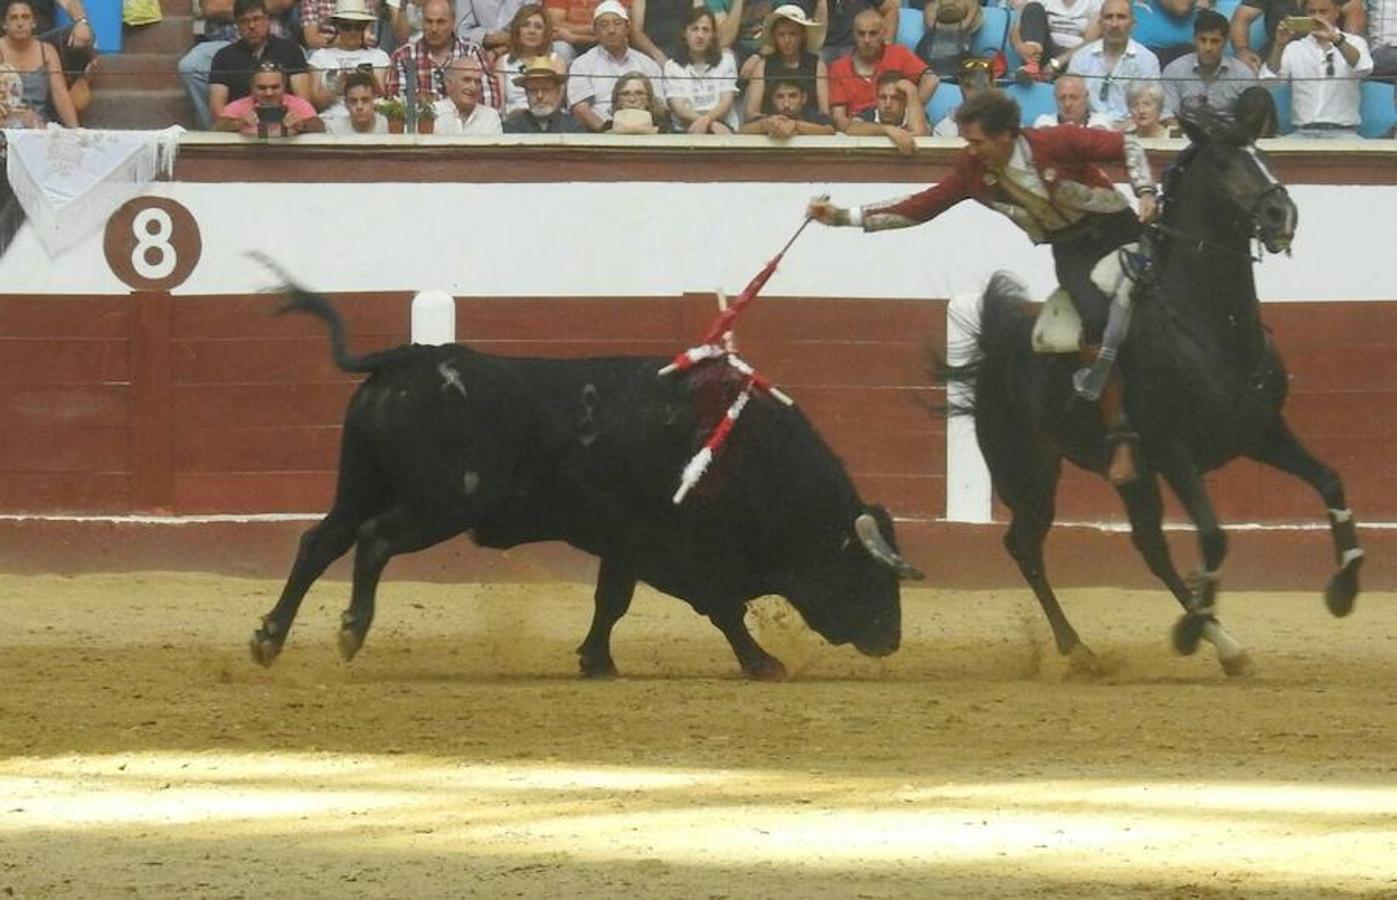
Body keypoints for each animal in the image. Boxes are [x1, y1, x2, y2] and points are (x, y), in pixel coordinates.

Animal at [251, 285, 922, 679]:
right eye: (869, 574)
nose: (891, 639)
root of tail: (408, 357)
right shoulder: (675, 551)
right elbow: (721, 609)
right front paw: (763, 662)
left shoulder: (623, 544)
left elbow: (611, 602)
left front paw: (596, 661)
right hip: (436, 504)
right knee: (374, 541)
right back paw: (350, 630)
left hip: (361, 485)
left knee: (320, 542)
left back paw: (270, 638)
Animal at [944, 102, 1357, 676]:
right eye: (1224, 163)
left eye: (1264, 154)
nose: (1282, 216)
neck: (1212, 328)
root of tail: (998, 343)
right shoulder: (1172, 449)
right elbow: (1214, 535)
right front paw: (1187, 631)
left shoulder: (1263, 433)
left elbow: (1330, 483)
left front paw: (1343, 591)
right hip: (1026, 470)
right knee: (1025, 543)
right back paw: (1085, 649)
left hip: (1128, 476)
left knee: (1147, 544)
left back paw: (1220, 643)